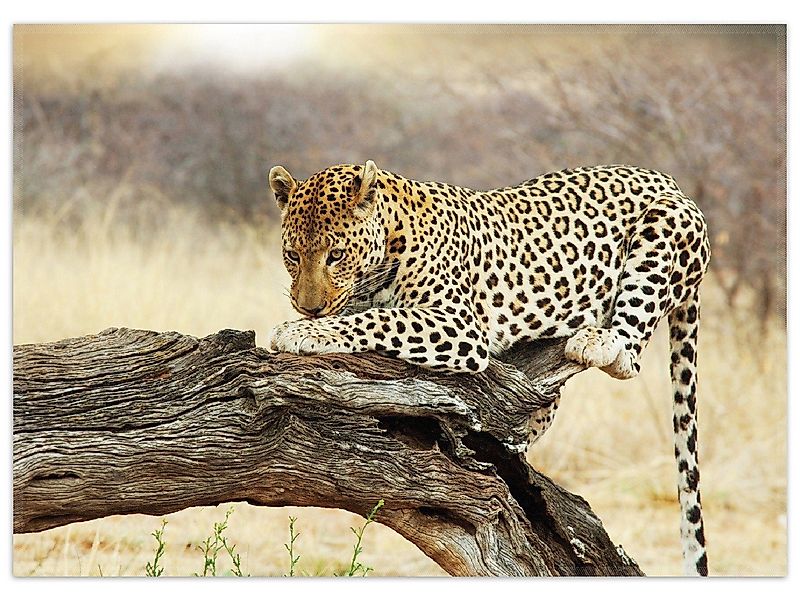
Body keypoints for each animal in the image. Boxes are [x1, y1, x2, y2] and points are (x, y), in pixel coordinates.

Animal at [266, 159, 711, 576]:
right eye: (292, 256)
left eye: (336, 255)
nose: (308, 307)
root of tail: (669, 181)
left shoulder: (458, 323)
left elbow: (378, 320)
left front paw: (301, 331)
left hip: (662, 228)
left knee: (629, 354)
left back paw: (597, 341)